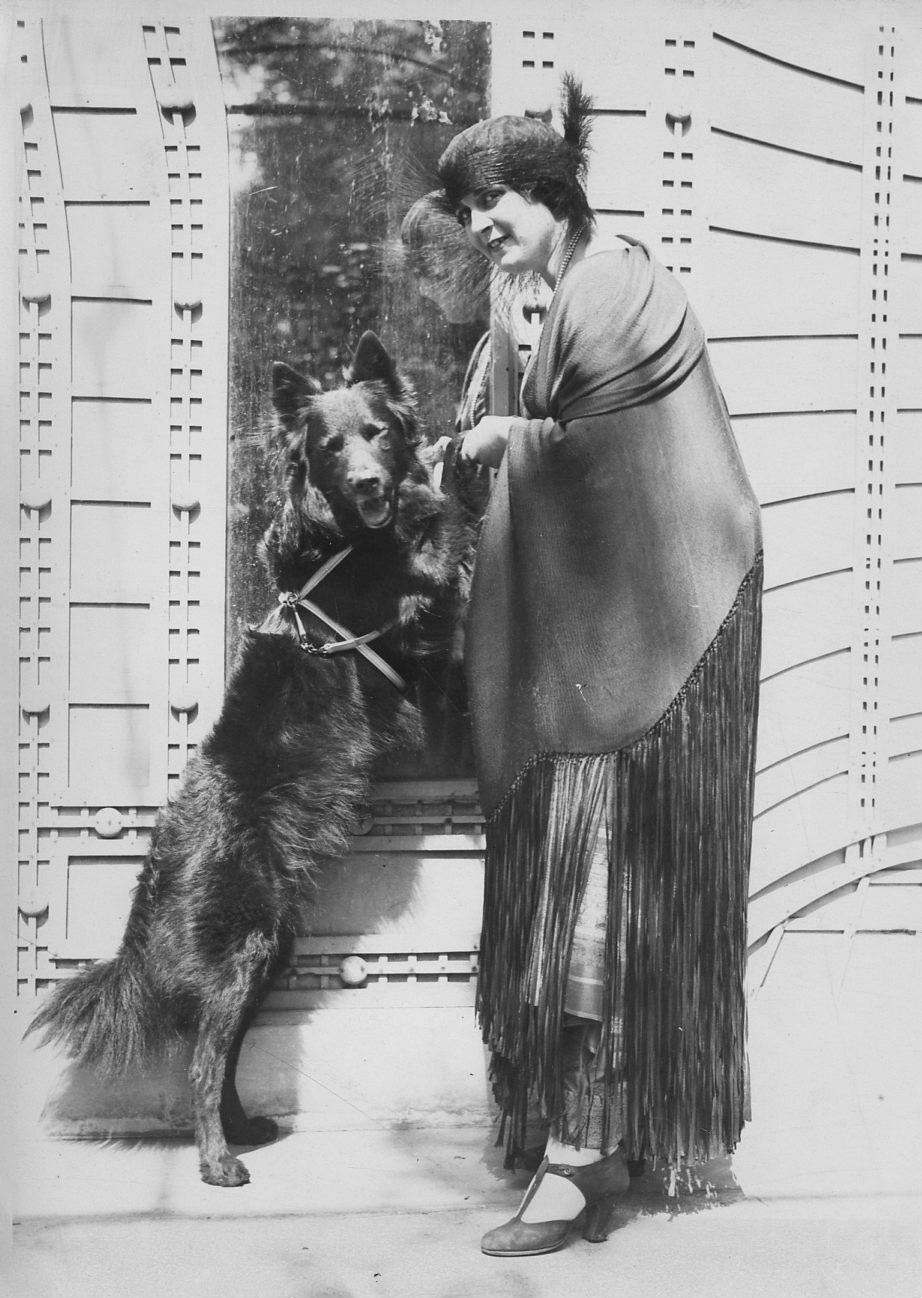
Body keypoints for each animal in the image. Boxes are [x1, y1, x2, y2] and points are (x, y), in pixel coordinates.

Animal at [28, 332, 481, 1187]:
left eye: (377, 432)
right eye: (330, 447)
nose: (370, 481)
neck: (343, 541)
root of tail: (147, 898)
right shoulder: (418, 617)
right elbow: (443, 543)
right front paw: (449, 476)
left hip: (273, 948)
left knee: (227, 1047)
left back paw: (244, 1129)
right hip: (247, 948)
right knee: (205, 1058)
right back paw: (217, 1162)